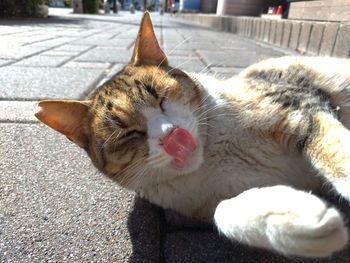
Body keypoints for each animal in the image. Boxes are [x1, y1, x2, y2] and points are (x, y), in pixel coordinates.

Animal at [35, 12, 350, 260]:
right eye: (127, 133)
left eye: (161, 96)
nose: (173, 136)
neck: (216, 156)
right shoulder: (201, 201)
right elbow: (223, 212)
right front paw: (293, 217)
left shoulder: (299, 103)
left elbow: (335, 151)